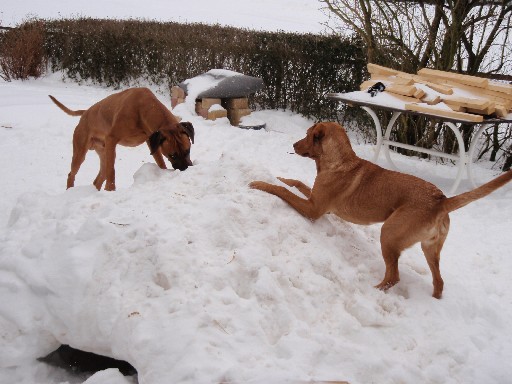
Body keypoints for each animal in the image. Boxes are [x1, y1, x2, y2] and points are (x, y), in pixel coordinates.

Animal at [49, 86, 194, 190]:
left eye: (188, 150)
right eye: (172, 155)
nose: (186, 169)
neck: (143, 108)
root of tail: (85, 113)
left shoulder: (152, 141)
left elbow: (160, 162)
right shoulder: (112, 139)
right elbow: (112, 172)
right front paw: (110, 190)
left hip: (104, 151)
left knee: (98, 178)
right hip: (81, 150)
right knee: (72, 174)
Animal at [251, 121, 512, 298]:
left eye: (307, 135)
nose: (293, 145)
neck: (339, 160)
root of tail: (441, 200)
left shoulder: (314, 208)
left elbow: (283, 191)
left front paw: (260, 184)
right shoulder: (316, 200)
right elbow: (295, 183)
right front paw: (281, 177)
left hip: (388, 234)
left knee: (393, 276)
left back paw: (374, 292)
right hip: (430, 249)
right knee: (439, 282)